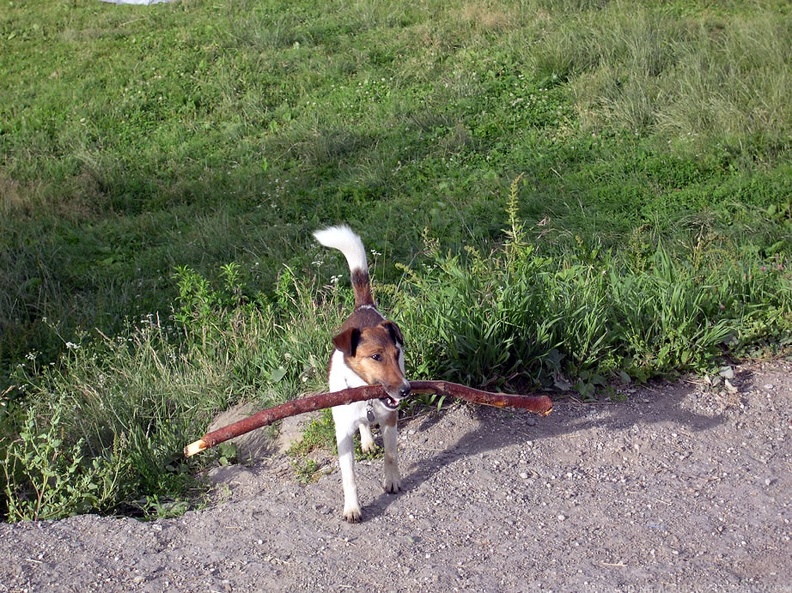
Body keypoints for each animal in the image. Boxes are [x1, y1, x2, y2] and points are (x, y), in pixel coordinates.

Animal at [312, 224, 412, 520]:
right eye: (376, 357)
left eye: (397, 354)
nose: (406, 390)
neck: (366, 396)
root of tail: (363, 308)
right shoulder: (343, 433)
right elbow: (349, 476)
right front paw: (352, 507)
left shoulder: (390, 418)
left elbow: (391, 455)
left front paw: (392, 481)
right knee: (363, 425)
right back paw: (367, 439)